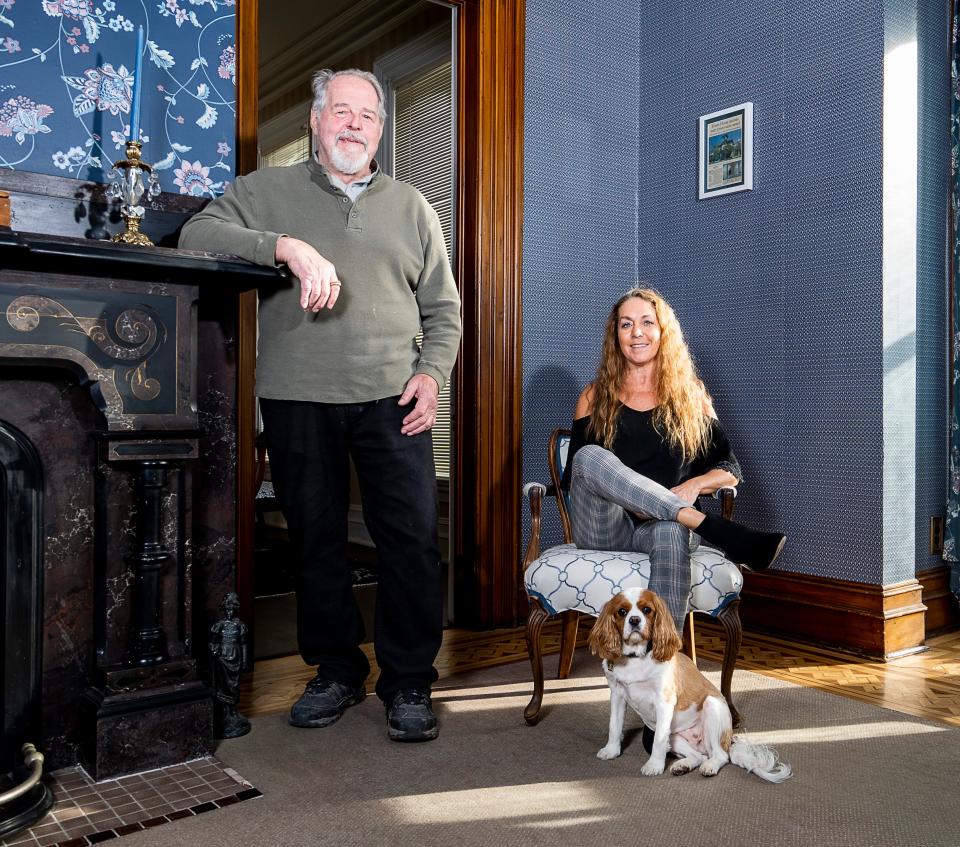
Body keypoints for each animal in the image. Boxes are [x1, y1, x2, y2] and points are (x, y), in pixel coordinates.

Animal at [588, 588, 792, 784]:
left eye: (647, 610)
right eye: (622, 612)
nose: (635, 620)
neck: (636, 658)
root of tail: (728, 740)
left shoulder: (664, 702)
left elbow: (657, 741)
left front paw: (654, 765)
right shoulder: (617, 695)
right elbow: (614, 726)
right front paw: (611, 750)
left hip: (712, 707)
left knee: (721, 755)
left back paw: (710, 767)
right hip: (676, 736)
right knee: (700, 756)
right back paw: (683, 766)